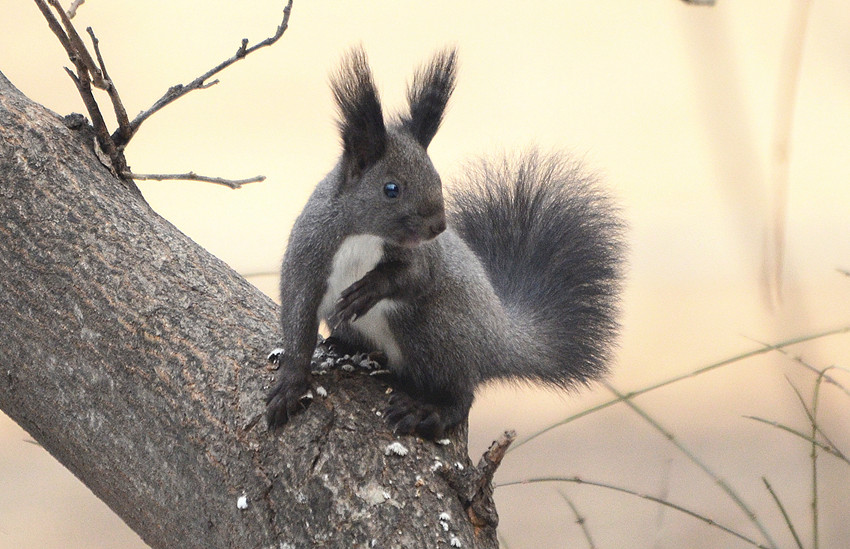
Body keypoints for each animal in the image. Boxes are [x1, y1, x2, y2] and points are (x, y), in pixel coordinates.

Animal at [264, 48, 624, 440]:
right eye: (391, 188)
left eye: (437, 178)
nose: (439, 226)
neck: (364, 236)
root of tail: (498, 337)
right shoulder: (310, 254)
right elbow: (298, 319)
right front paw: (290, 385)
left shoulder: (422, 256)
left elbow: (418, 277)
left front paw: (370, 289)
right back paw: (346, 344)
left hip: (435, 330)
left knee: (461, 395)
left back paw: (428, 410)